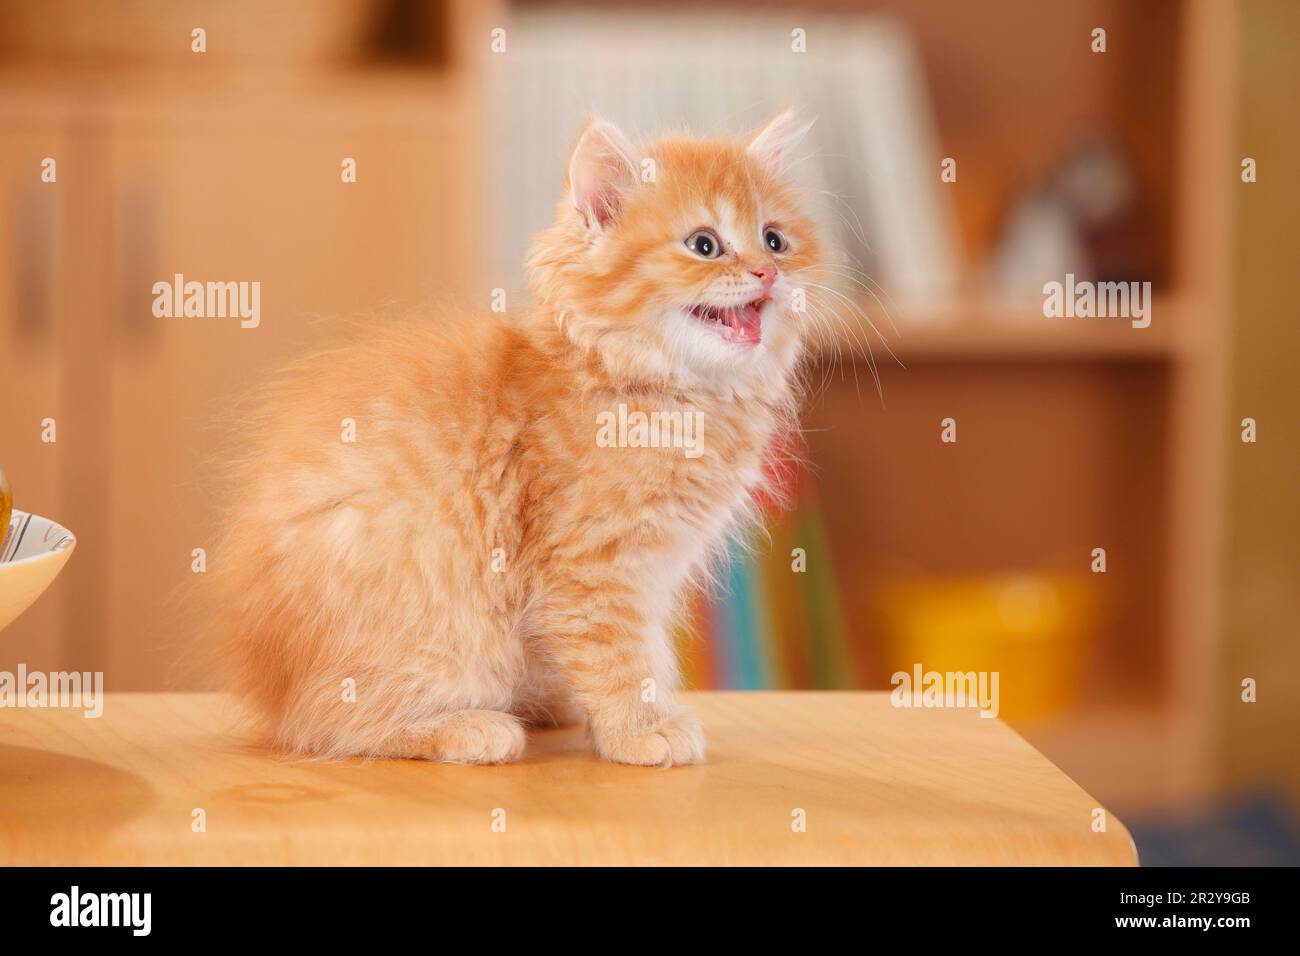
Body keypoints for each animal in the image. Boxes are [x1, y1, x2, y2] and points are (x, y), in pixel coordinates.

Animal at [210, 111, 821, 764]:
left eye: (775, 240)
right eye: (704, 244)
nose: (768, 273)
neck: (666, 392)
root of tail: (267, 687)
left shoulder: (649, 572)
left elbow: (643, 650)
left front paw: (623, 721)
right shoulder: (589, 567)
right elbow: (620, 655)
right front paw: (641, 729)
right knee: (329, 726)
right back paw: (470, 727)